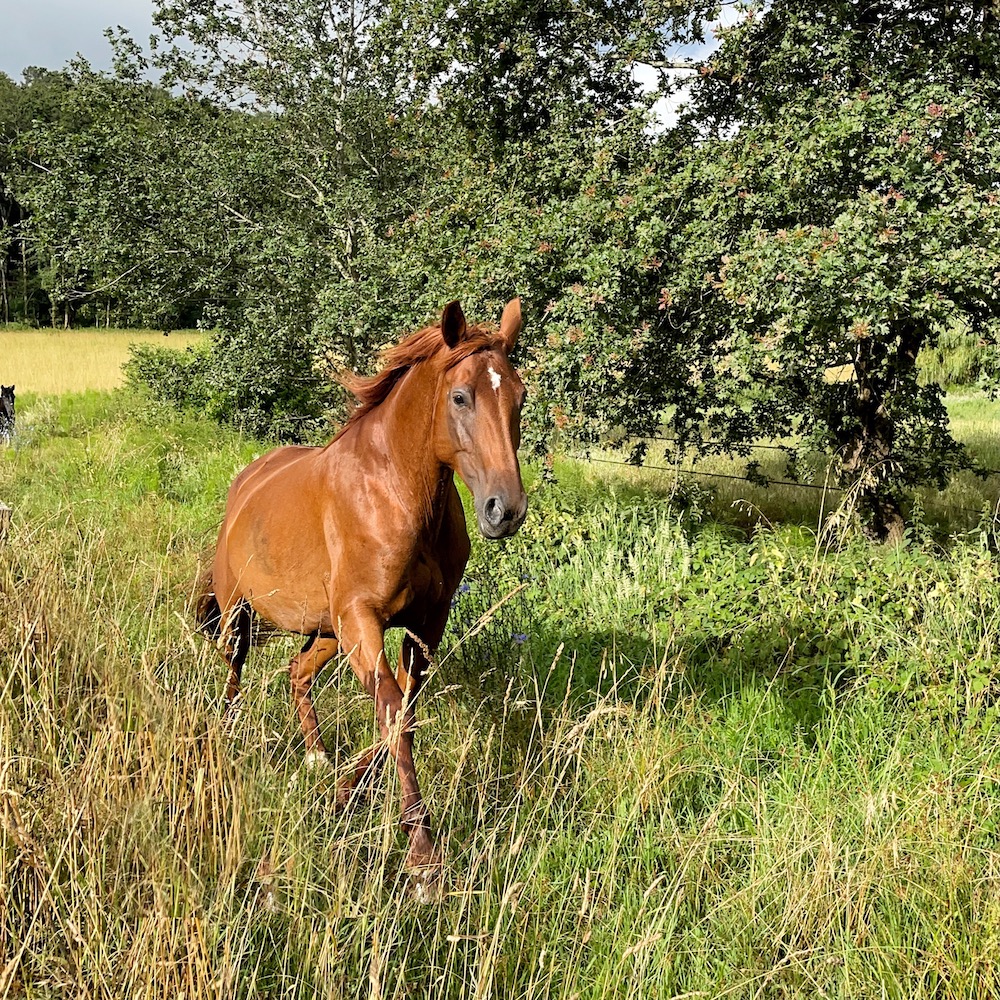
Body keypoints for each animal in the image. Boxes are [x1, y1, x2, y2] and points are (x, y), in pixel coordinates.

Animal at [191, 296, 528, 892]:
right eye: (461, 396)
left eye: (520, 395)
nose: (503, 510)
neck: (395, 493)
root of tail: (245, 484)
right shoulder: (363, 619)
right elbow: (394, 713)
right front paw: (423, 858)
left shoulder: (423, 625)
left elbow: (404, 713)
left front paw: (348, 791)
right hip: (242, 615)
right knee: (233, 674)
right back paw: (227, 739)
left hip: (327, 632)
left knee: (296, 674)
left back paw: (318, 759)